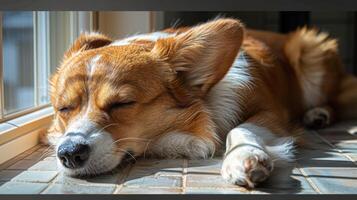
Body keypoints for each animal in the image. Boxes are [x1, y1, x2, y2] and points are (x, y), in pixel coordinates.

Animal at [43, 18, 356, 188]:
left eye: (122, 103)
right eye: (63, 109)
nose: (69, 154)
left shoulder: (273, 114)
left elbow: (240, 129)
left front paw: (243, 158)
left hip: (310, 53)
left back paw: (319, 114)